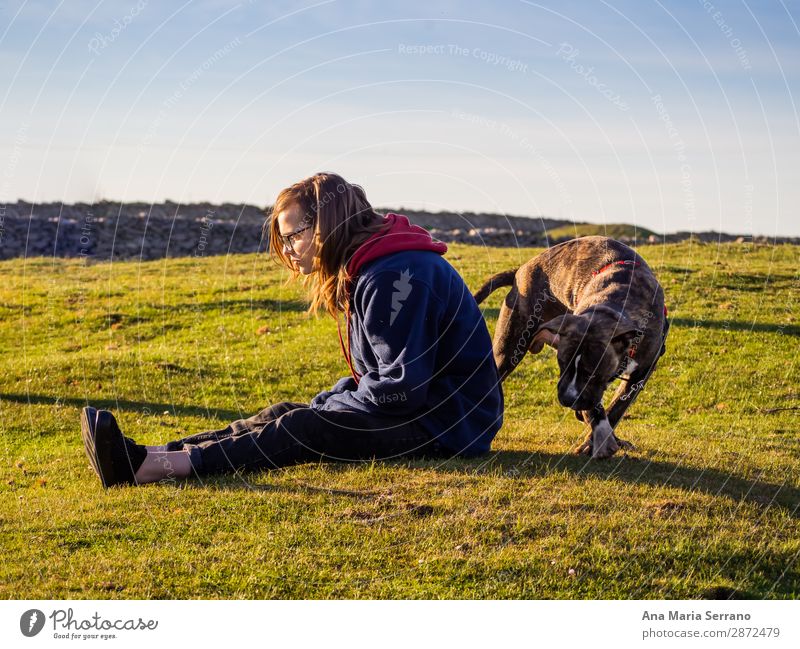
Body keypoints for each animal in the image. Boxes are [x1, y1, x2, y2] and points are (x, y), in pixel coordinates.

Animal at [476, 235, 668, 458]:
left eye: (592, 373)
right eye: (562, 364)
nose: (568, 399)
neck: (613, 306)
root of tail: (520, 270)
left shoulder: (641, 371)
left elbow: (617, 407)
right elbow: (595, 408)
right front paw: (597, 436)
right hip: (509, 349)